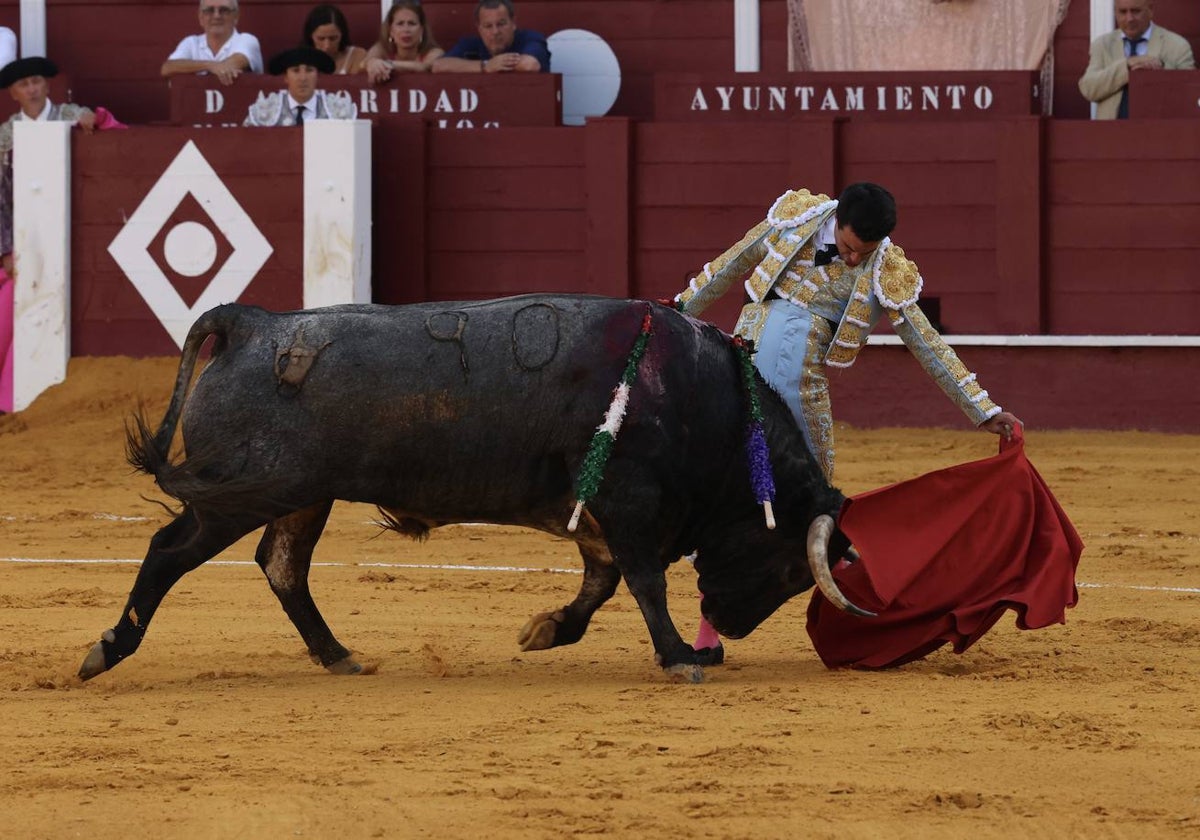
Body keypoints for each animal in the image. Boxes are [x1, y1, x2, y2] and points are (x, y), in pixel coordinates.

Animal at [77, 295, 864, 681]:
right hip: (243, 491)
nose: (727, 629)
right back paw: (108, 649)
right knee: (170, 551)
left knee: (282, 567)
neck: (709, 406)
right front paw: (680, 657)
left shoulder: (594, 512)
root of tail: (251, 325)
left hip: (303, 495)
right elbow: (643, 581)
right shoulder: (629, 502)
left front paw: (547, 630)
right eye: (792, 569)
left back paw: (340, 656)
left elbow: (602, 580)